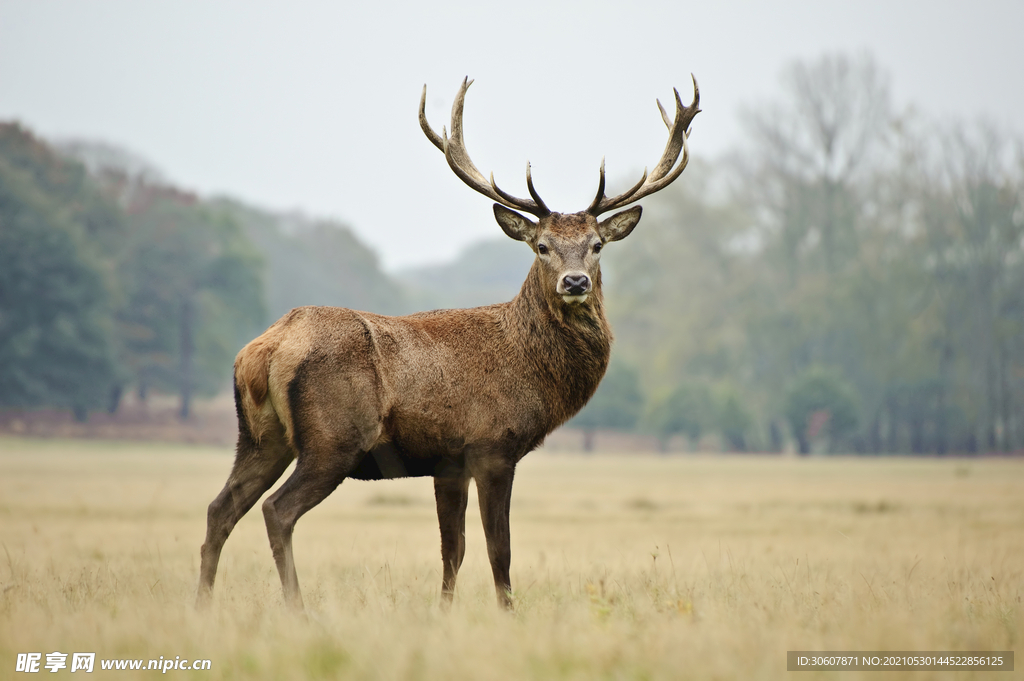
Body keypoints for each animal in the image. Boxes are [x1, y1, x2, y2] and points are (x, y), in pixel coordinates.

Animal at [195, 75, 700, 610]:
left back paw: (202, 605)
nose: (576, 281)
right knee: (277, 510)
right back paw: (297, 609)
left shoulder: (447, 462)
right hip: (333, 438)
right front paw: (507, 612)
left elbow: (451, 550)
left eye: (597, 245)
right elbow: (499, 549)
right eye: (541, 246)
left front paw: (444, 612)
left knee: (220, 508)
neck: (531, 370)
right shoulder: (492, 445)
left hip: (260, 436)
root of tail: (265, 349)